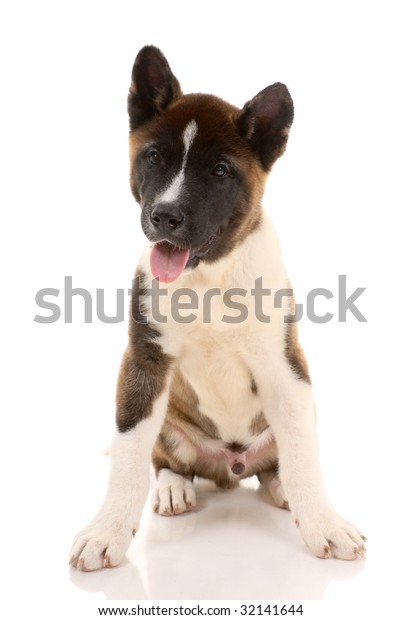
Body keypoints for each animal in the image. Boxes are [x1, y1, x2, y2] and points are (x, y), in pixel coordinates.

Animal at [69, 44, 366, 572]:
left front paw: (324, 523)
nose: (164, 216)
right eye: (154, 157)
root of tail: (229, 468)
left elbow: (304, 456)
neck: (207, 278)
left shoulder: (284, 369)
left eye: (221, 171)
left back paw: (282, 489)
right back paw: (173, 490)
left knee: (279, 461)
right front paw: (107, 530)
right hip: (172, 428)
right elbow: (129, 453)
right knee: (166, 461)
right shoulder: (143, 363)